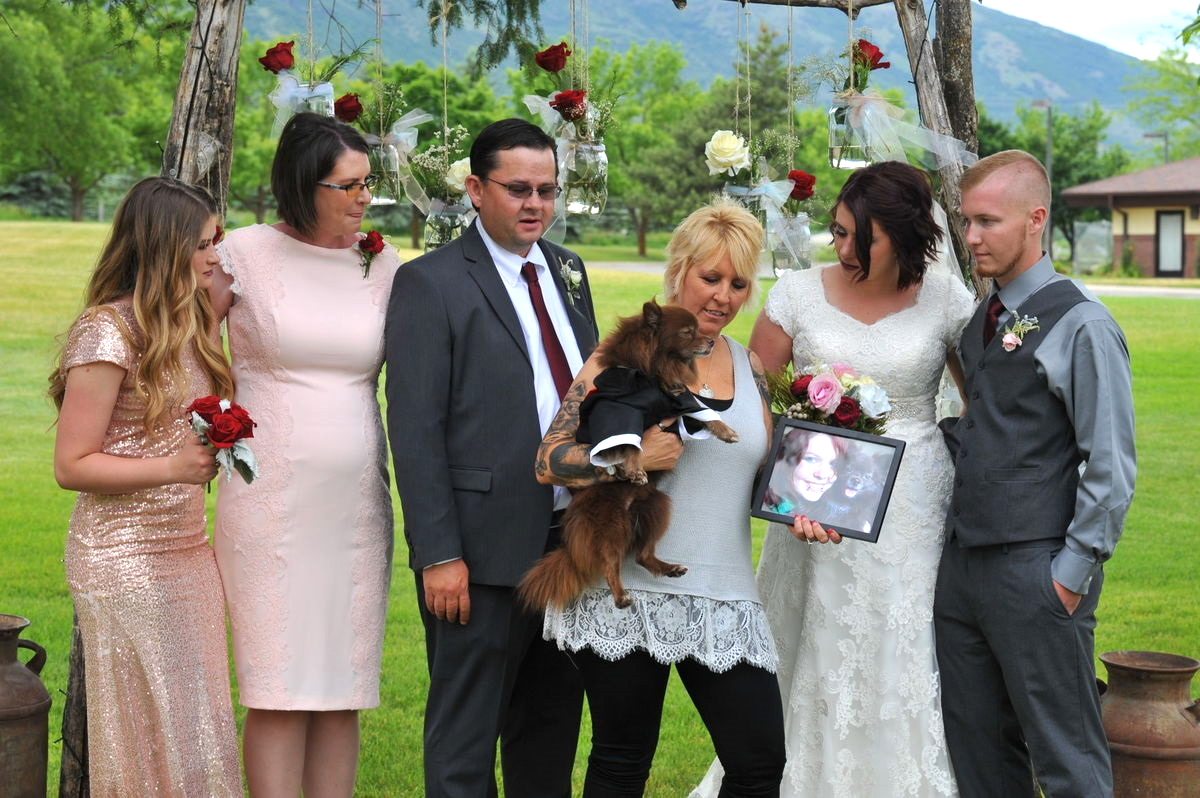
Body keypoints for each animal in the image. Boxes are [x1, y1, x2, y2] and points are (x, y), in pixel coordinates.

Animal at [518, 300, 734, 609]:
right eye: (687, 332)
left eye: (698, 330)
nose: (711, 341)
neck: (649, 375)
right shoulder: (619, 410)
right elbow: (631, 443)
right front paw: (633, 469)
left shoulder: (680, 400)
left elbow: (703, 414)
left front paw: (726, 431)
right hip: (611, 525)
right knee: (609, 563)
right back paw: (620, 596)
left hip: (656, 506)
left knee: (642, 554)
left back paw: (669, 568)